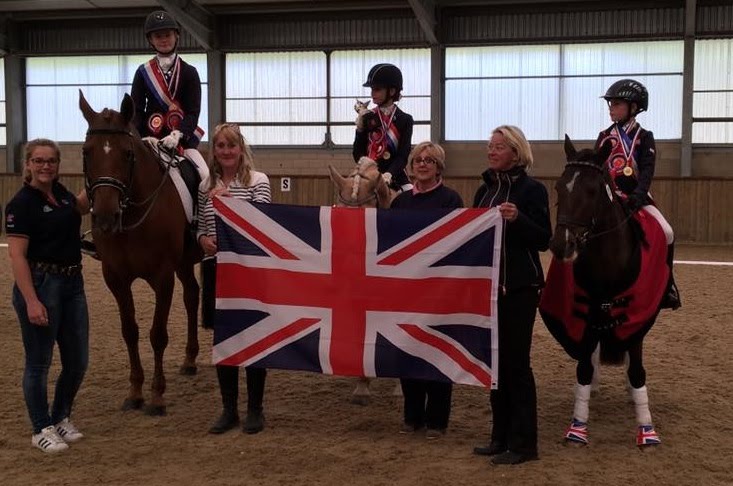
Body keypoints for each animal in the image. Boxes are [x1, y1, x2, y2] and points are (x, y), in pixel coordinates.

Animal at [78, 91, 200, 414]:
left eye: (127, 154)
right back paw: (190, 359)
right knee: (193, 295)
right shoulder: (115, 278)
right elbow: (130, 331)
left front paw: (157, 396)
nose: (105, 217)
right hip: (183, 263)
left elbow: (157, 335)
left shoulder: (162, 276)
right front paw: (135, 392)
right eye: (86, 152)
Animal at [536, 135, 668, 446]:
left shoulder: (638, 313)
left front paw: (647, 430)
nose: (562, 245)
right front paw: (577, 427)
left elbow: (637, 371)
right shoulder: (585, 314)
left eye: (593, 190)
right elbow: (583, 368)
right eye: (559, 187)